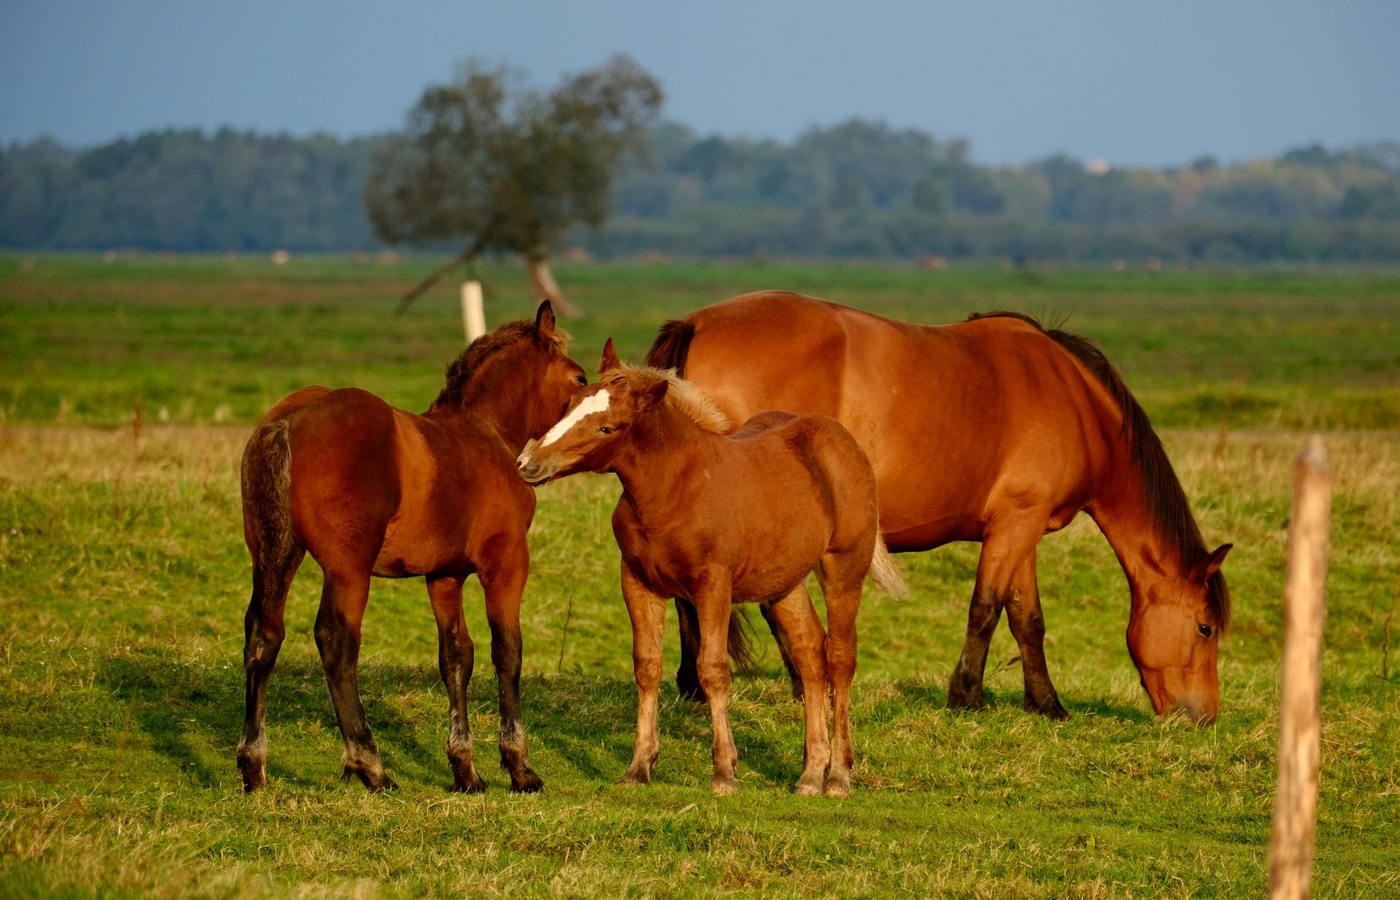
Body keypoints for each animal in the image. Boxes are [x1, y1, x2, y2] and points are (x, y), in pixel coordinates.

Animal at [237, 301, 587, 794]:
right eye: (579, 378)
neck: (484, 435)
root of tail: (288, 421)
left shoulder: (444, 576)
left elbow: (456, 657)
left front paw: (465, 769)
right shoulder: (506, 565)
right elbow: (507, 652)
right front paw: (519, 767)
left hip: (276, 557)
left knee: (263, 636)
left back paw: (253, 765)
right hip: (348, 570)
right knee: (336, 642)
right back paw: (370, 765)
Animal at [516, 341, 905, 796]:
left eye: (608, 428)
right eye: (568, 405)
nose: (528, 463)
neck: (673, 490)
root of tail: (841, 439)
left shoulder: (713, 586)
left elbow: (713, 669)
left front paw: (724, 772)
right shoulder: (637, 582)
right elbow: (647, 666)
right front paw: (639, 766)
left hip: (844, 568)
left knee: (840, 658)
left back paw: (839, 776)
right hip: (784, 584)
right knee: (811, 656)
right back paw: (810, 774)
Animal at [647, 291, 1232, 725]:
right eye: (1204, 628)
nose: (1202, 717)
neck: (1075, 400)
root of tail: (698, 323)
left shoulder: (1020, 528)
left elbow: (1027, 619)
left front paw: (1046, 704)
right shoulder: (1017, 525)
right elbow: (986, 609)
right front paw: (966, 697)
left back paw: (699, 685)